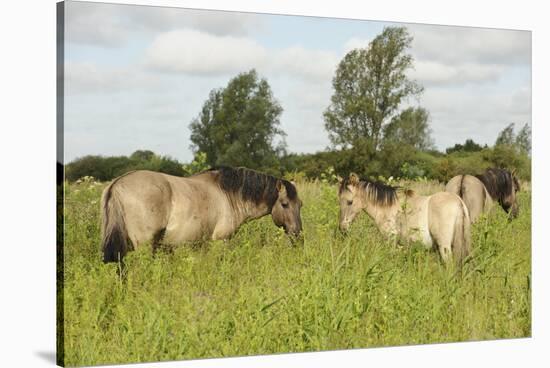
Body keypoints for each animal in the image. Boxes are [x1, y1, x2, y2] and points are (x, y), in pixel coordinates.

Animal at [101, 167, 304, 262]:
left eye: (300, 205)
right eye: (285, 204)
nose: (298, 236)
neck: (228, 194)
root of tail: (117, 184)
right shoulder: (220, 241)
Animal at [338, 173, 472, 264]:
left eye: (349, 202)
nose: (342, 228)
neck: (387, 206)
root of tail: (458, 203)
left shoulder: (391, 238)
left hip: (444, 246)